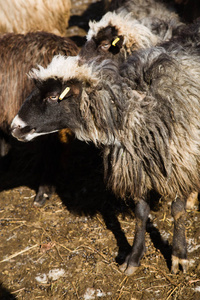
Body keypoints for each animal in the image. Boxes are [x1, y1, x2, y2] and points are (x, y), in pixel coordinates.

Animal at [10, 42, 200, 276]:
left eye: (53, 96)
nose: (15, 127)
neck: (138, 111)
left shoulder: (180, 162)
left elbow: (178, 211)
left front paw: (179, 256)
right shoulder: (134, 168)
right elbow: (140, 214)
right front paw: (133, 258)